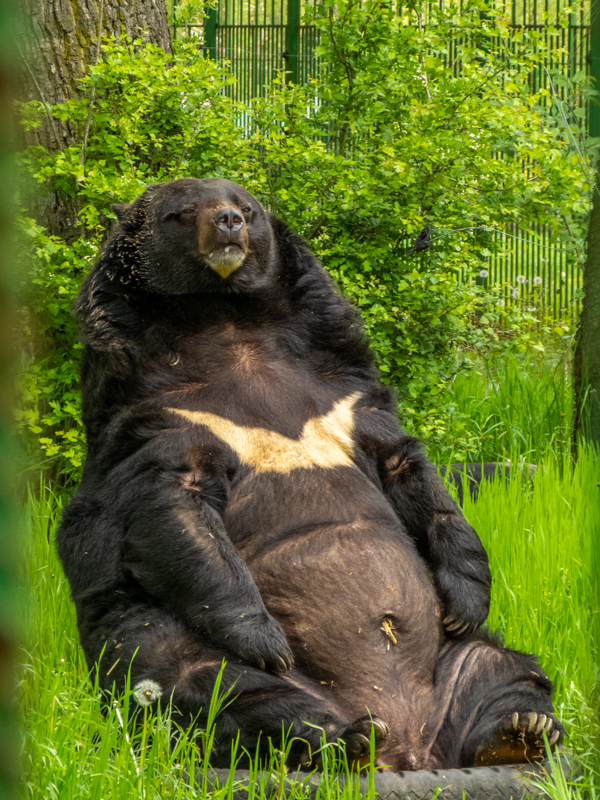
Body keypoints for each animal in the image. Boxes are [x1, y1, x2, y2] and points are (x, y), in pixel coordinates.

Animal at [57, 177, 563, 771]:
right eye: (182, 212)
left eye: (246, 207)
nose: (228, 223)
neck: (225, 319)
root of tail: (413, 747)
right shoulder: (161, 411)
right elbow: (174, 508)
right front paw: (264, 638)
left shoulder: (341, 387)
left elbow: (411, 470)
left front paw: (465, 599)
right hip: (169, 646)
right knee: (208, 683)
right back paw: (341, 739)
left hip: (455, 662)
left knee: (501, 669)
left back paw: (518, 730)